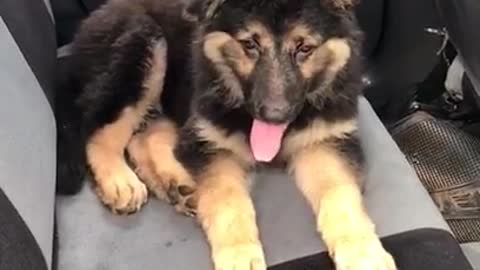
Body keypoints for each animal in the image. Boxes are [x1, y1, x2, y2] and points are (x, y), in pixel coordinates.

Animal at [56, 0, 396, 270]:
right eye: (250, 45)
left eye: (304, 48)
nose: (274, 116)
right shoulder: (212, 141)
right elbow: (230, 202)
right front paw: (240, 257)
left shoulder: (325, 142)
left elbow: (340, 196)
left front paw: (363, 253)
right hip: (143, 46)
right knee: (100, 133)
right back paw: (120, 181)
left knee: (145, 136)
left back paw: (177, 183)